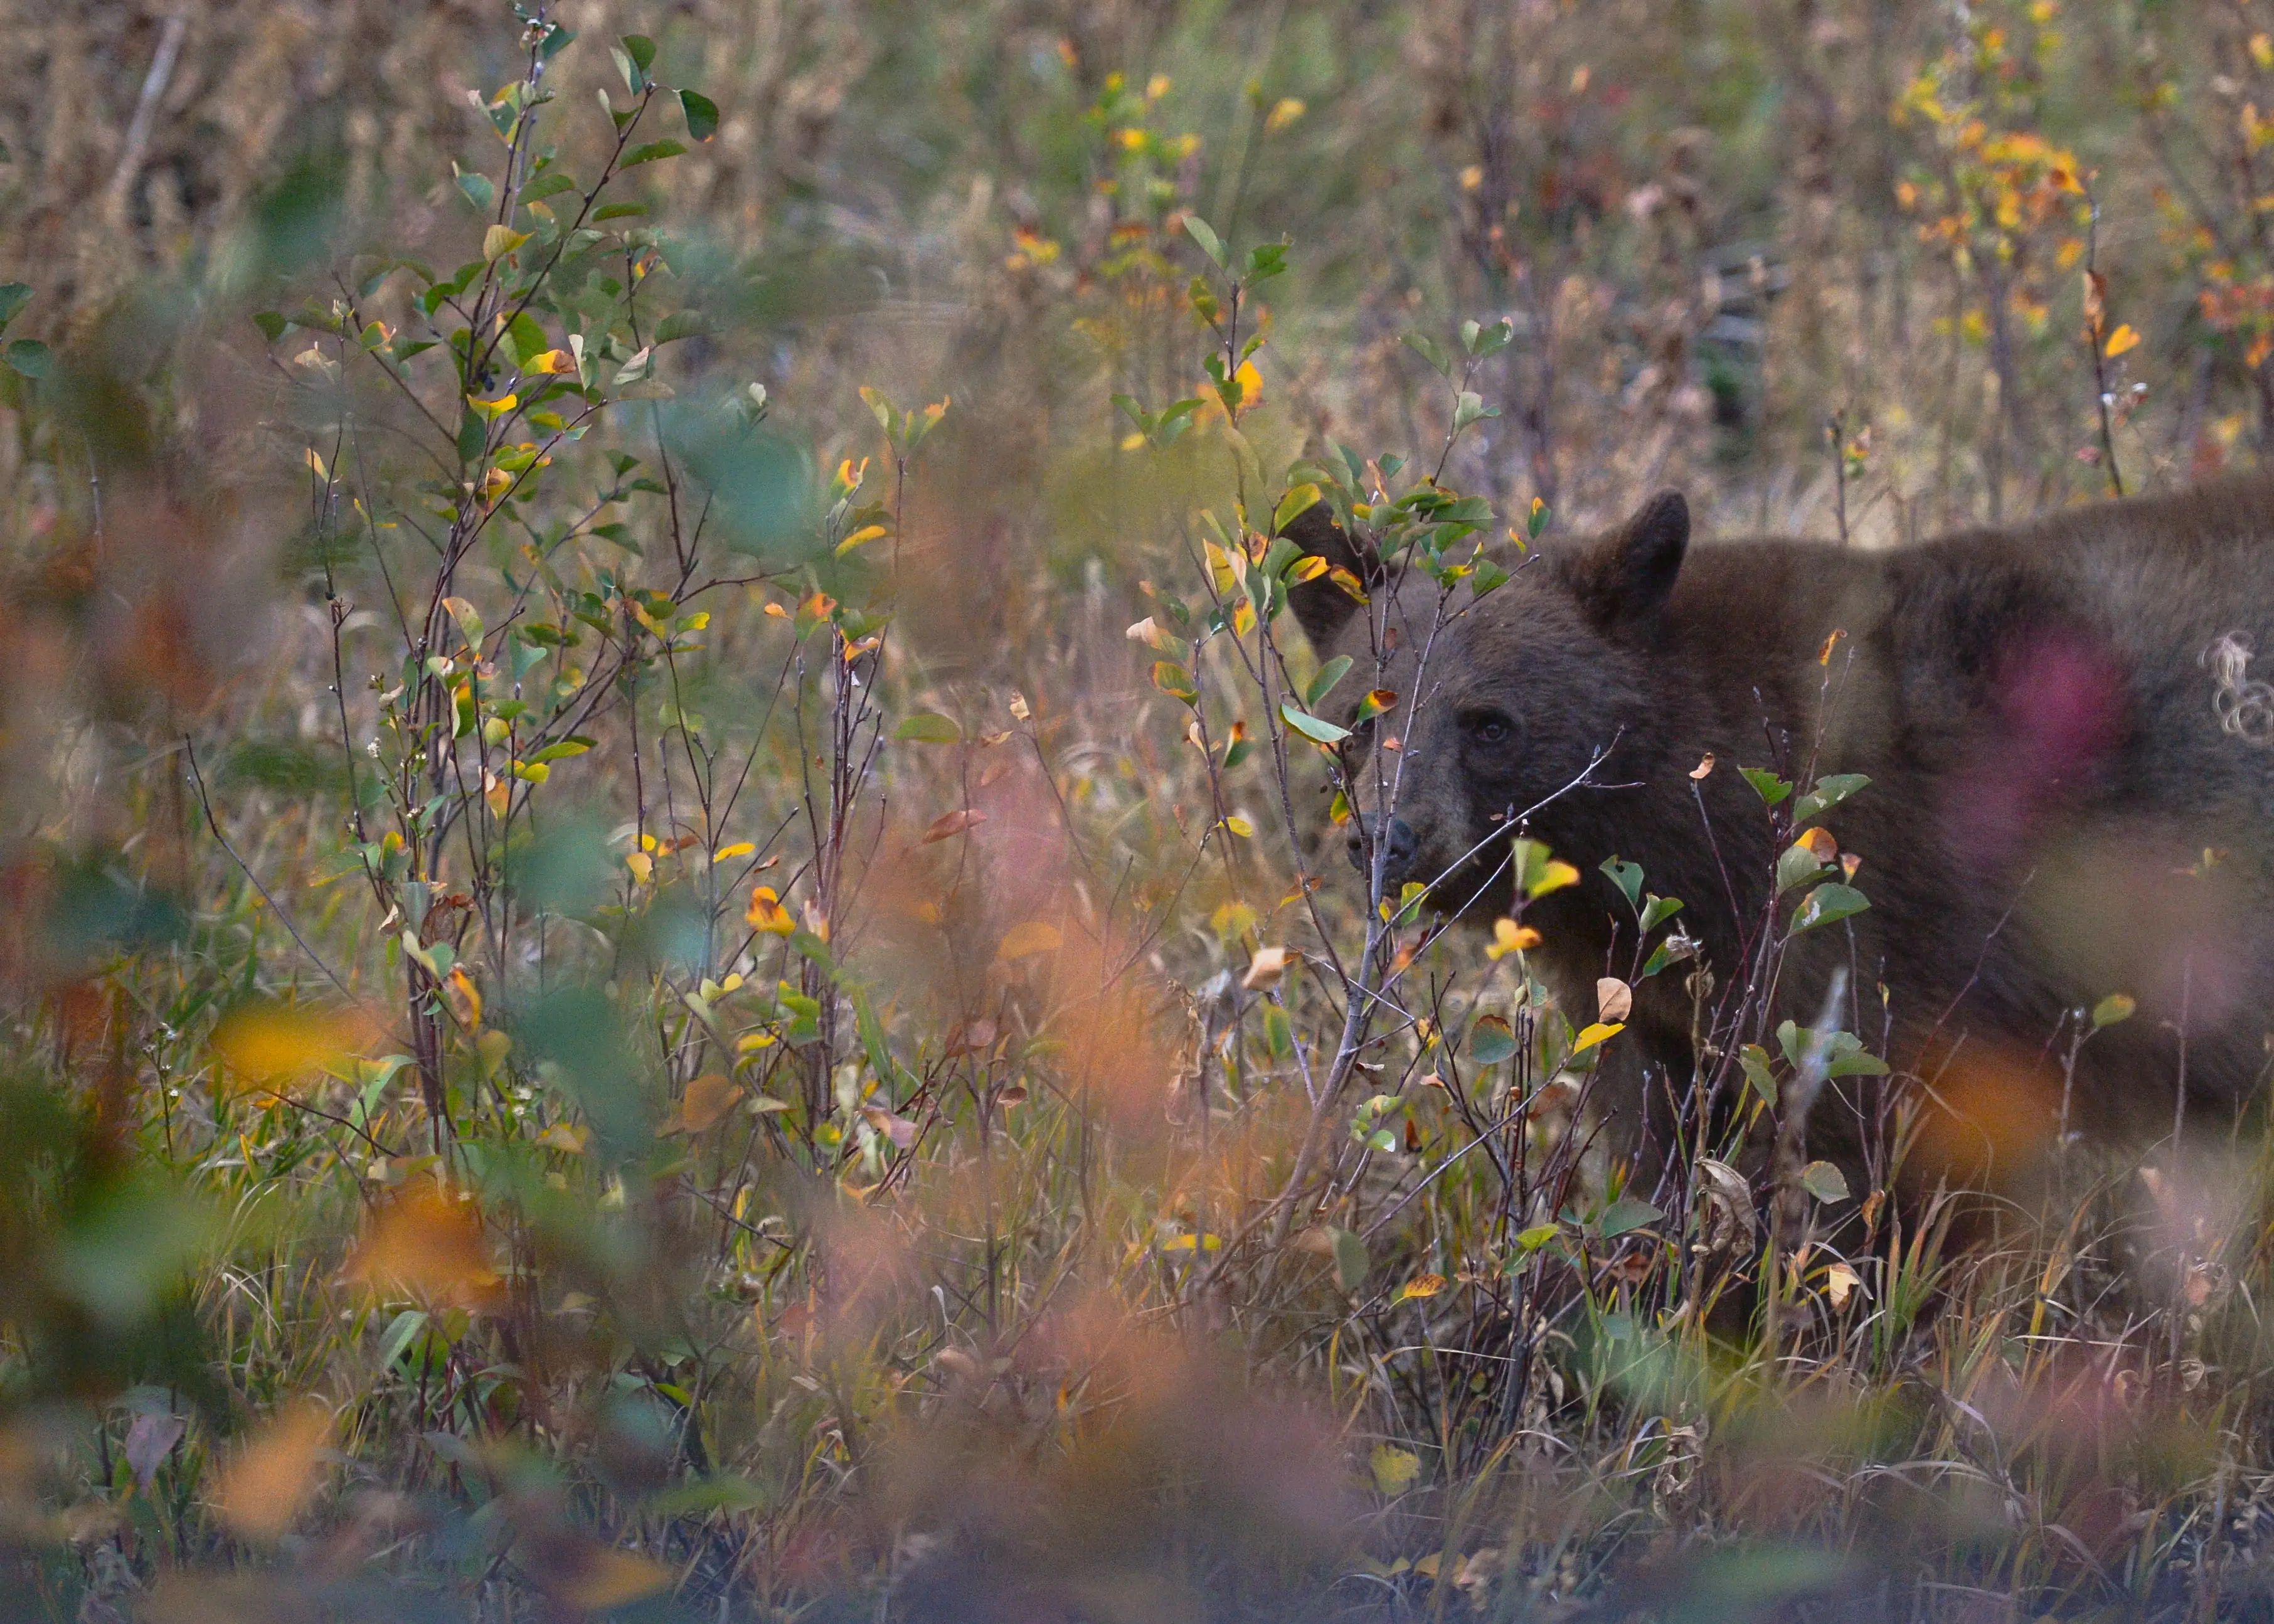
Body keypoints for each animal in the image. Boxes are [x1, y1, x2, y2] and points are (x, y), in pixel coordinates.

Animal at [1282, 478, 2274, 1198]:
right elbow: (1651, 1134)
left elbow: (1859, 1159)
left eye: (1489, 723)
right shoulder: (1638, 996)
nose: (1389, 839)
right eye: (1359, 717)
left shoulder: (1864, 941)